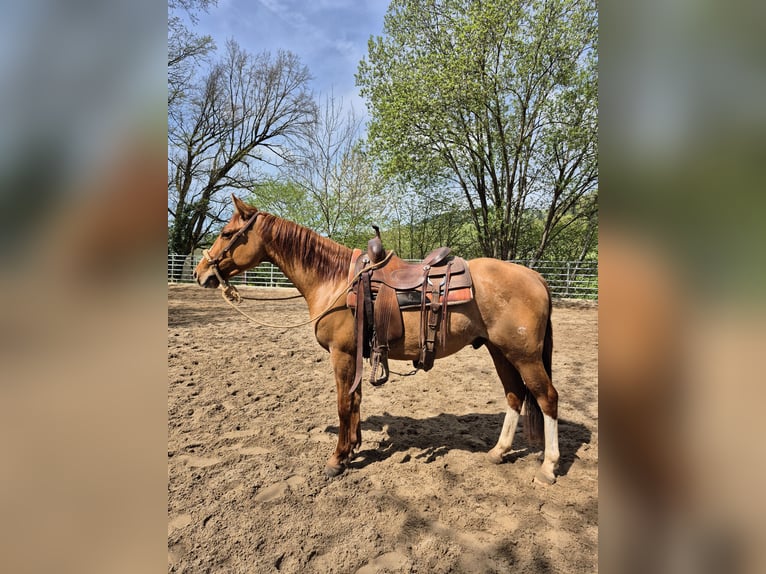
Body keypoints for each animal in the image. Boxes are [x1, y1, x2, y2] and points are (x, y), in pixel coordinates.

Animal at [193, 196, 560, 484]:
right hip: (501, 352)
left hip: (524, 356)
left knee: (547, 398)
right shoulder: (356, 354)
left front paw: (337, 459)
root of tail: (536, 277)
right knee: (514, 396)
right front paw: (353, 447)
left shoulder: (342, 354)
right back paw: (499, 451)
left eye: (227, 234)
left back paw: (548, 467)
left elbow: (344, 404)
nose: (200, 273)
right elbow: (355, 401)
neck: (335, 280)